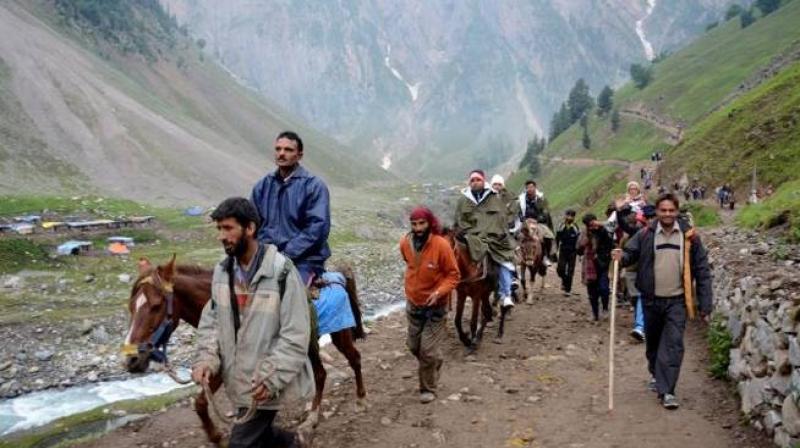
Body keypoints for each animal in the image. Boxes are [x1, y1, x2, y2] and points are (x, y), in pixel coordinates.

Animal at [123, 256, 368, 444]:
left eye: (156, 305)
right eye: (131, 306)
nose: (131, 360)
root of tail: (337, 277)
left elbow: (202, 402)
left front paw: (217, 437)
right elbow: (203, 402)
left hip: (339, 334)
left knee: (353, 359)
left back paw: (359, 401)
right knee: (321, 373)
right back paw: (312, 418)